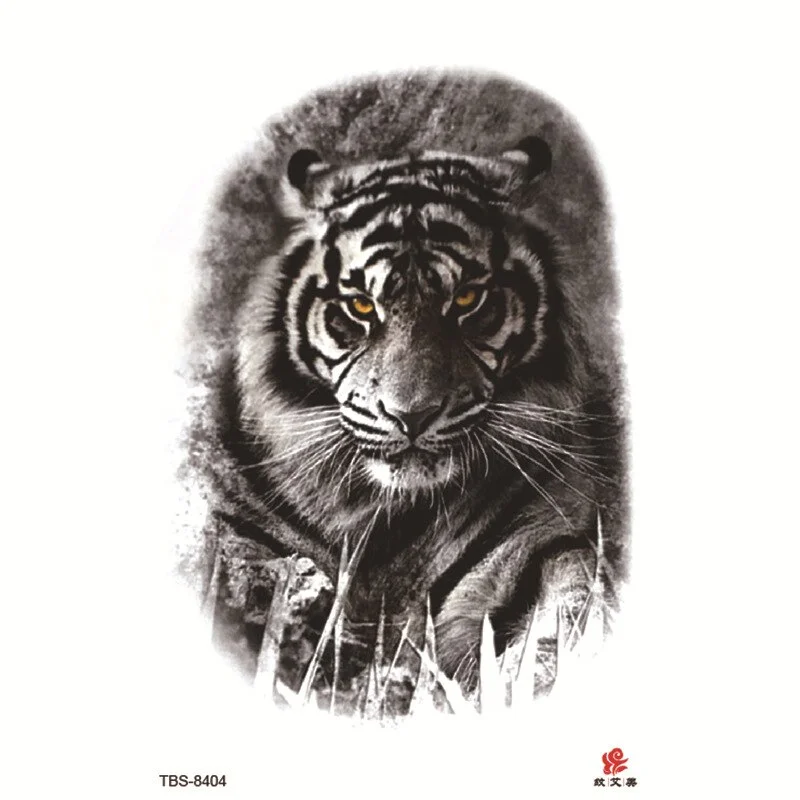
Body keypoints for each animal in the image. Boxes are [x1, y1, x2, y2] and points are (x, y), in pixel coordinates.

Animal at [177, 70, 629, 711]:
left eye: (467, 300)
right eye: (362, 306)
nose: (411, 415)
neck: (382, 515)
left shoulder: (545, 539)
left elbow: (562, 617)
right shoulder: (230, 529)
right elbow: (251, 581)